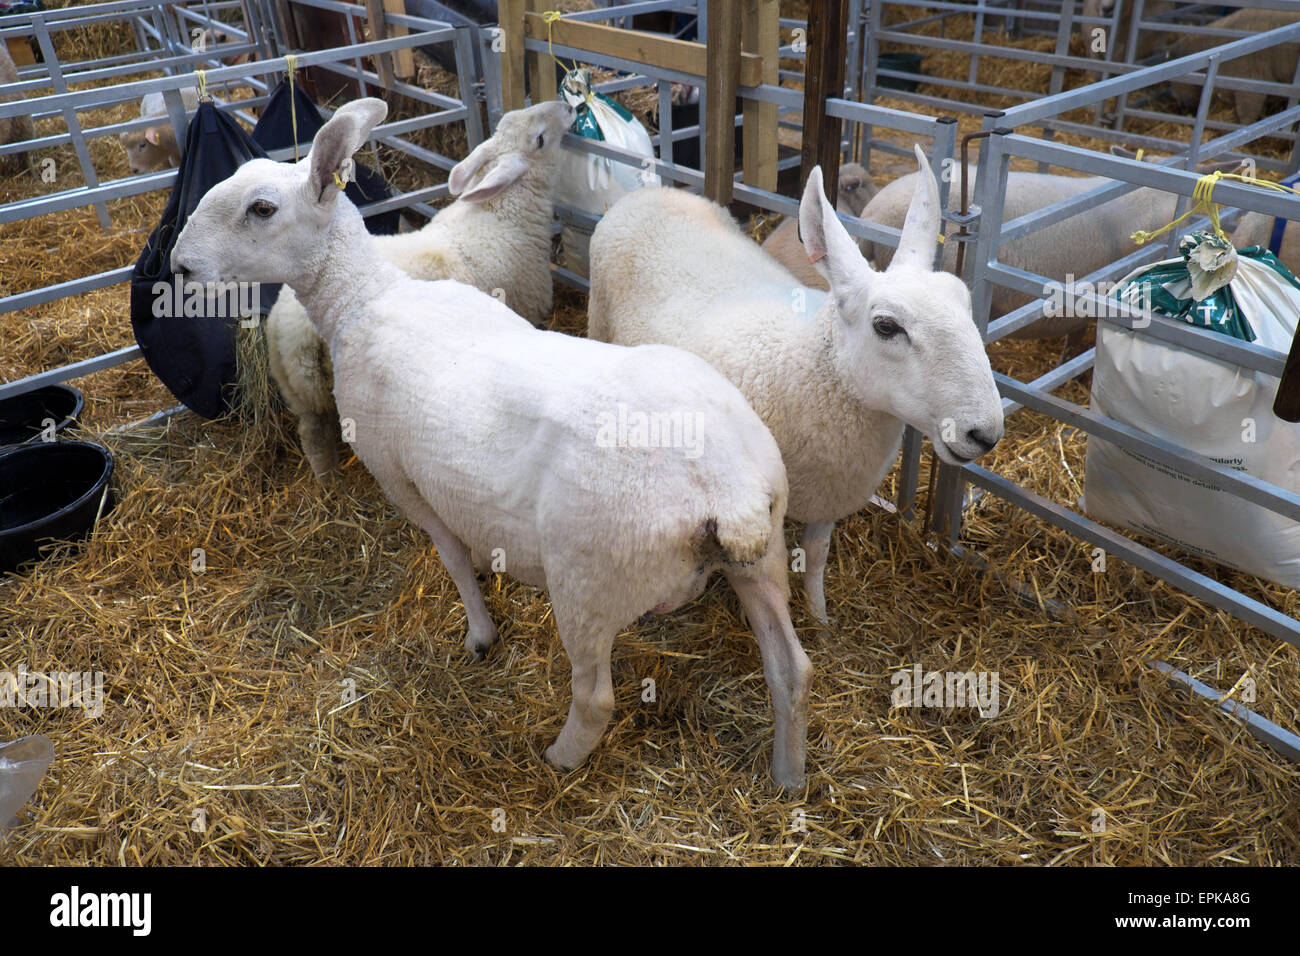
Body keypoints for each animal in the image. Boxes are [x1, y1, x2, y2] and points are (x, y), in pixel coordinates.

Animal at [265, 100, 574, 481]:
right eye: (540, 139)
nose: (568, 107)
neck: (501, 217)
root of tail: (285, 324)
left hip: (299, 390)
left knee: (310, 433)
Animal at [590, 147, 1003, 629]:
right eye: (886, 326)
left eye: (965, 302)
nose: (986, 434)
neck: (801, 369)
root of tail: (653, 193)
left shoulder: (830, 497)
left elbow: (818, 555)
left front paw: (820, 617)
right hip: (597, 317)